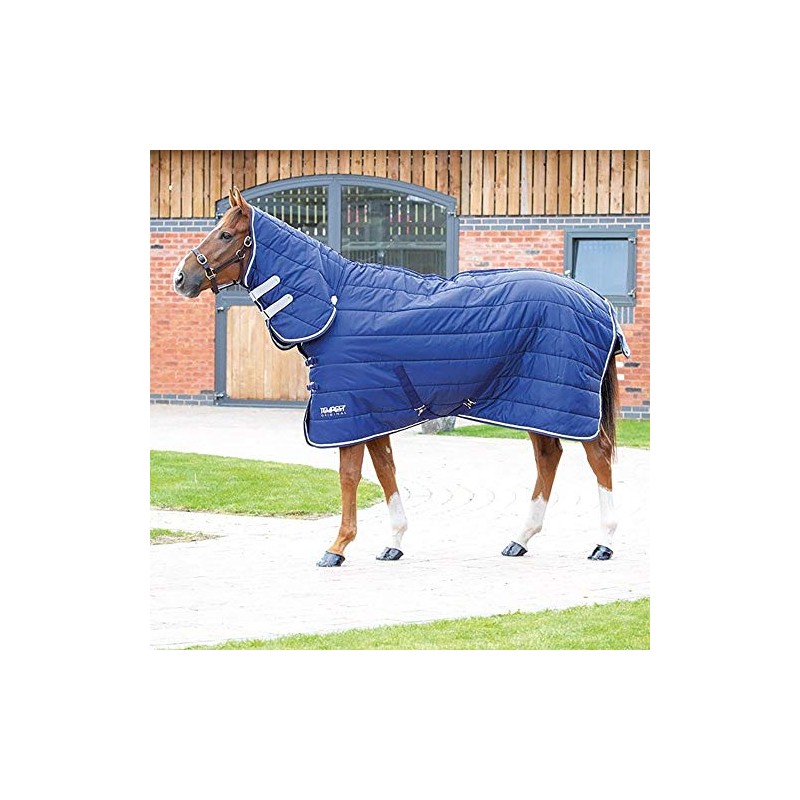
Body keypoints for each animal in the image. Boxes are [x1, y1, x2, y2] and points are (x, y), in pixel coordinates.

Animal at [172, 186, 625, 567]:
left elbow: (350, 476)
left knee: (598, 455)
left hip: (563, 402)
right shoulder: (374, 412)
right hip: (534, 402)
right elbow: (385, 471)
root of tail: (597, 302)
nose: (181, 278)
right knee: (549, 456)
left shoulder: (347, 410)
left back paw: (603, 542)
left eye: (226, 234)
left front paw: (337, 547)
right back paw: (520, 539)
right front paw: (393, 543)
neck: (336, 304)